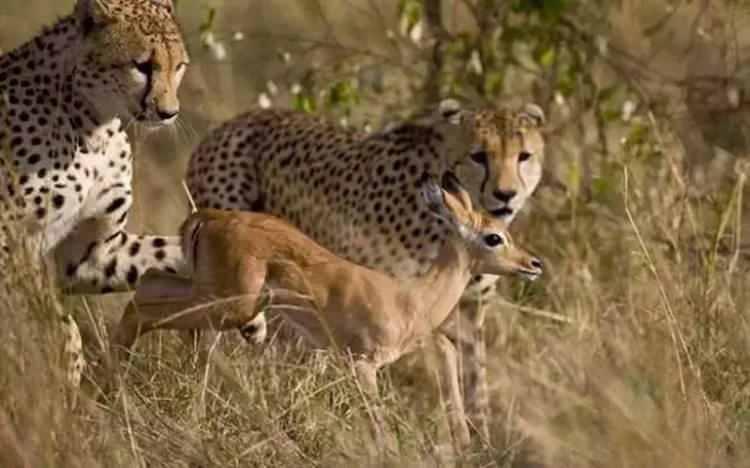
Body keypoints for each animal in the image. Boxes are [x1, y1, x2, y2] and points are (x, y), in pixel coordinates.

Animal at [0, 0, 191, 388]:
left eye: (179, 66)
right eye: (142, 65)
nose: (169, 112)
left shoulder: (90, 255)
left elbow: (163, 250)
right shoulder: (9, 243)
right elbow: (61, 326)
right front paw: (68, 369)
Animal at [184, 101, 544, 442]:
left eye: (524, 155)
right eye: (493, 238)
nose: (534, 264)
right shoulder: (363, 362)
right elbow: (381, 424)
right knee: (205, 340)